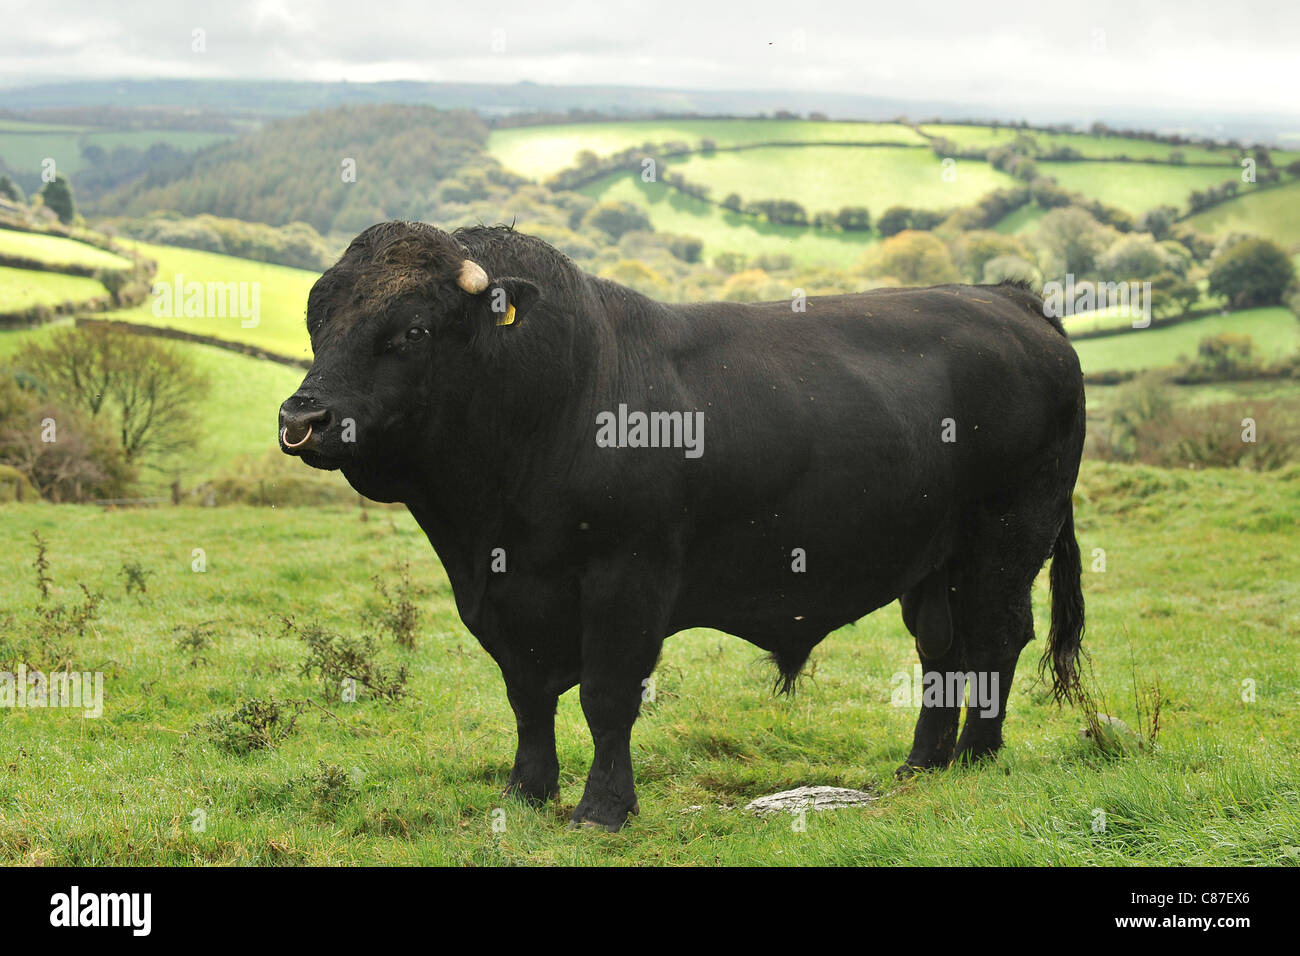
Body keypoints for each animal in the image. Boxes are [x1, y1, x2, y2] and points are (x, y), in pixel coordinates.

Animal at [282, 222, 1086, 832]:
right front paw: (527, 792)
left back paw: (978, 757)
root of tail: (1011, 298)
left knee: (995, 637)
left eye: (413, 329)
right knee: (942, 649)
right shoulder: (507, 596)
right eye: (318, 321)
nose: (302, 417)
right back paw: (923, 763)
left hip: (1009, 534)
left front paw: (603, 809)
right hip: (934, 558)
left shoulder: (626, 577)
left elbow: (606, 697)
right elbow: (528, 696)